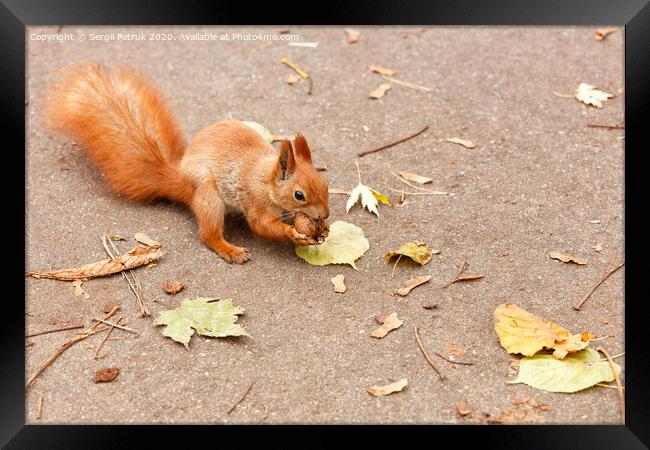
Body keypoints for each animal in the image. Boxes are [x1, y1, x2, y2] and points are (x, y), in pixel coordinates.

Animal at [45, 66, 330, 264]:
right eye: (299, 195)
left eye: (326, 185)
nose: (325, 215)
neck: (266, 180)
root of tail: (180, 179)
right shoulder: (255, 200)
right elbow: (262, 226)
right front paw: (292, 232)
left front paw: (322, 231)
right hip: (208, 195)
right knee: (208, 235)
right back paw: (229, 249)